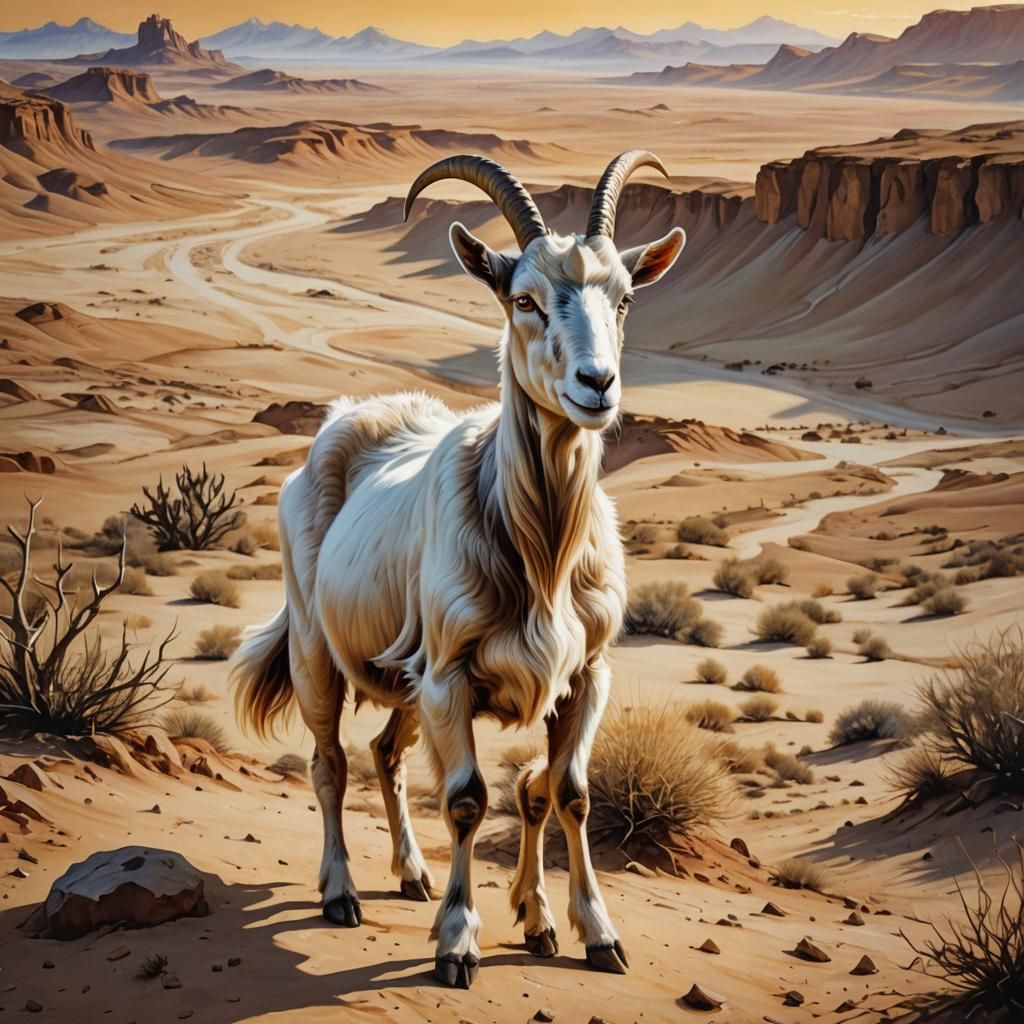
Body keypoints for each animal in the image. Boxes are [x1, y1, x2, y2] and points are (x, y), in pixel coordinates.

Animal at [234, 151, 685, 988]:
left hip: (408, 678)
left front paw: (585, 932)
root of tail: (344, 421)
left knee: (385, 752)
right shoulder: (451, 678)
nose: (597, 385)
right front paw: (457, 943)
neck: (541, 556)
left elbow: (565, 793)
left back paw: (411, 874)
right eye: (524, 299)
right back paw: (341, 892)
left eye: (626, 297)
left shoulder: (583, 676)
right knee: (328, 762)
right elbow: (469, 799)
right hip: (320, 650)